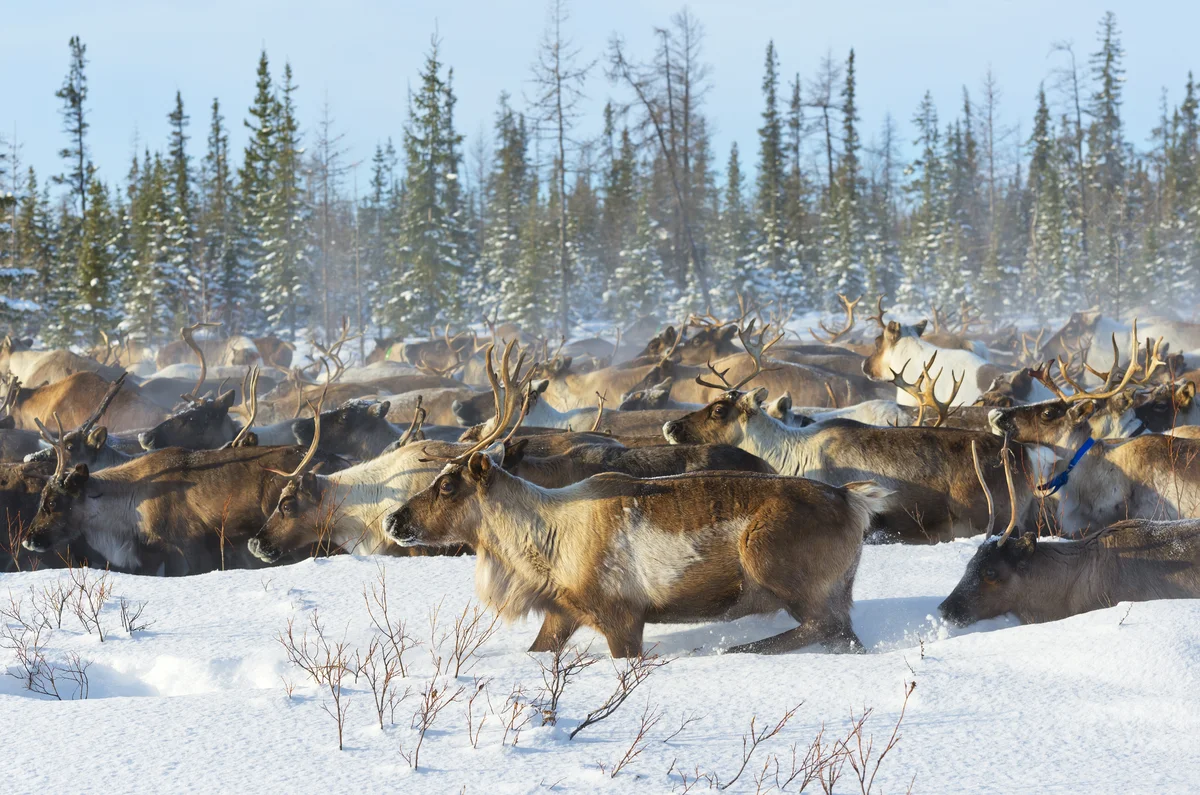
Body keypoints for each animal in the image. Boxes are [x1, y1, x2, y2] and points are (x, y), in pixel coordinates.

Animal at [384, 355, 891, 657]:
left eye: (448, 485)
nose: (393, 519)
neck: (540, 546)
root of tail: (853, 499)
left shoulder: (621, 615)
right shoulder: (562, 612)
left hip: (775, 563)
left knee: (824, 628)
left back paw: (730, 649)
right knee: (845, 635)